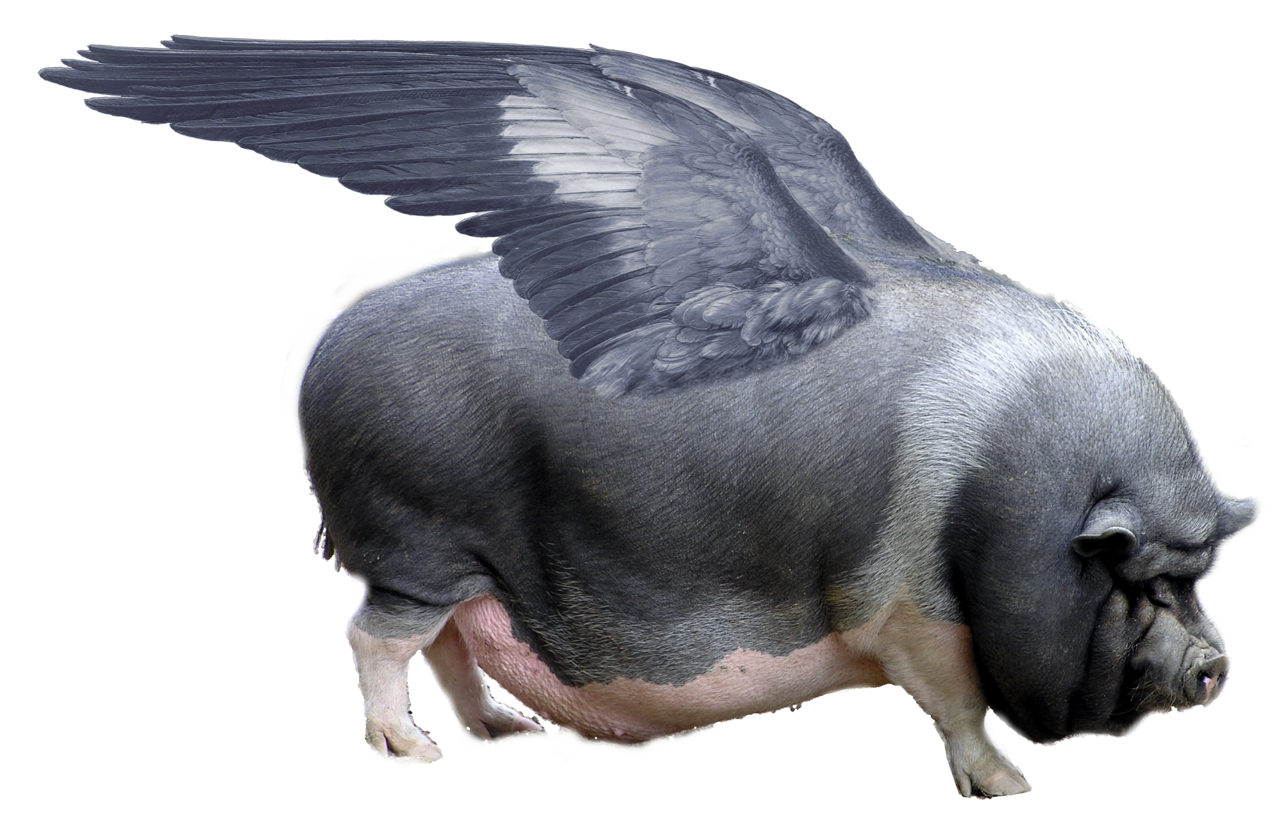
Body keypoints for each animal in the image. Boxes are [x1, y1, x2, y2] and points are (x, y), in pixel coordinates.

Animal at [39, 38, 1261, 795]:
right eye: (1134, 578)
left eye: (1196, 574)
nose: (1213, 664)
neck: (993, 495)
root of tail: (334, 335)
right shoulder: (904, 606)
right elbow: (953, 704)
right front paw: (1009, 783)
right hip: (411, 528)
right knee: (374, 636)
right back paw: (411, 753)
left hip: (459, 555)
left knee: (451, 636)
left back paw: (503, 736)